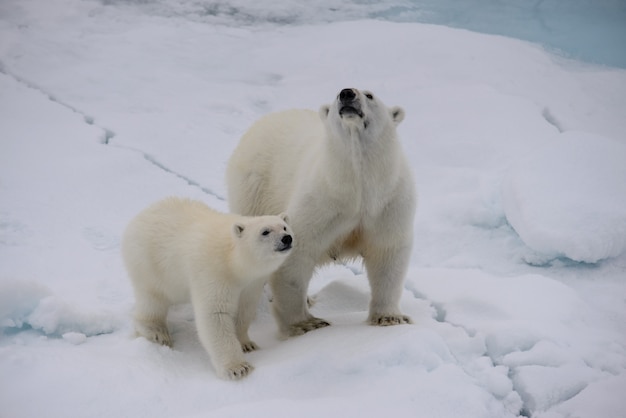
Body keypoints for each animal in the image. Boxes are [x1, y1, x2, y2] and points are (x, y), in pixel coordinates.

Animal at [121, 198, 292, 380]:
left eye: (284, 227)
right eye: (265, 231)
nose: (287, 239)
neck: (233, 261)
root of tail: (139, 216)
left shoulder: (251, 283)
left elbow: (244, 309)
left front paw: (246, 344)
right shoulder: (214, 272)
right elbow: (215, 315)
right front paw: (238, 368)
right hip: (149, 264)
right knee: (153, 300)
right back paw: (157, 333)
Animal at [227, 87, 416, 336]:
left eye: (369, 95)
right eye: (337, 95)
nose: (347, 94)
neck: (358, 187)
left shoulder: (387, 203)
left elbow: (388, 252)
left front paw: (390, 318)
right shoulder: (323, 199)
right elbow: (298, 249)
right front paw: (306, 323)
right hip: (255, 189)